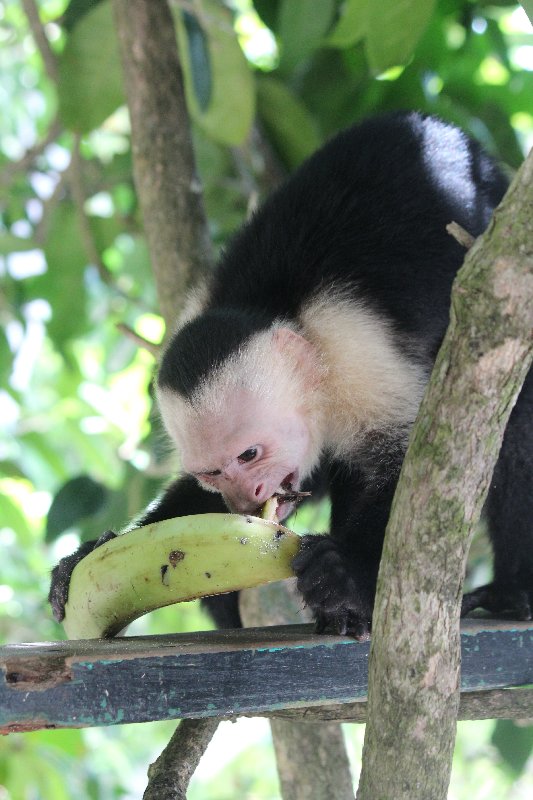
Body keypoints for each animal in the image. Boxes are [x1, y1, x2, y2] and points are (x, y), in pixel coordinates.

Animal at [47, 111, 528, 636]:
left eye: (250, 454)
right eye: (213, 472)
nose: (245, 499)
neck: (279, 313)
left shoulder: (357, 346)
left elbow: (412, 464)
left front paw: (345, 572)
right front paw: (90, 553)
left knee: (510, 423)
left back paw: (510, 592)